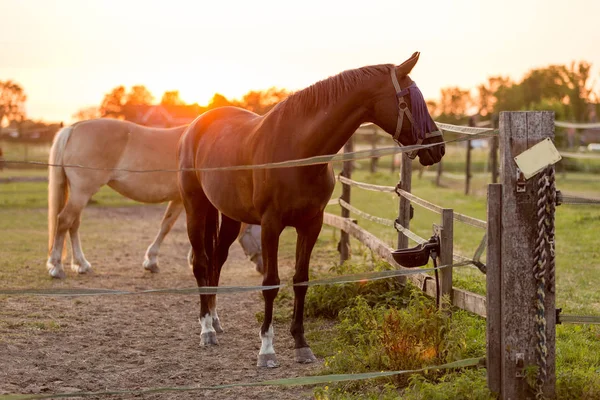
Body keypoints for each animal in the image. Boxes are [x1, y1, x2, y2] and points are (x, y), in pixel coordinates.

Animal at [47, 119, 262, 278]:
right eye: (259, 235)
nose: (261, 268)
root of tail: (74, 127)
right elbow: (170, 226)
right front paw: (156, 261)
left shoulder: (180, 200)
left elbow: (167, 225)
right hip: (82, 192)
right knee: (64, 220)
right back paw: (56, 267)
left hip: (79, 194)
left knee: (73, 225)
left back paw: (81, 264)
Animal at [178, 51, 446, 368]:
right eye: (409, 100)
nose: (438, 147)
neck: (298, 152)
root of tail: (197, 124)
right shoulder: (271, 225)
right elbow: (271, 283)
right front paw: (266, 349)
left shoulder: (311, 224)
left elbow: (300, 281)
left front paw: (301, 344)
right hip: (195, 207)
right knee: (201, 263)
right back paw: (206, 328)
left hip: (230, 216)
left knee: (217, 261)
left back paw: (215, 319)